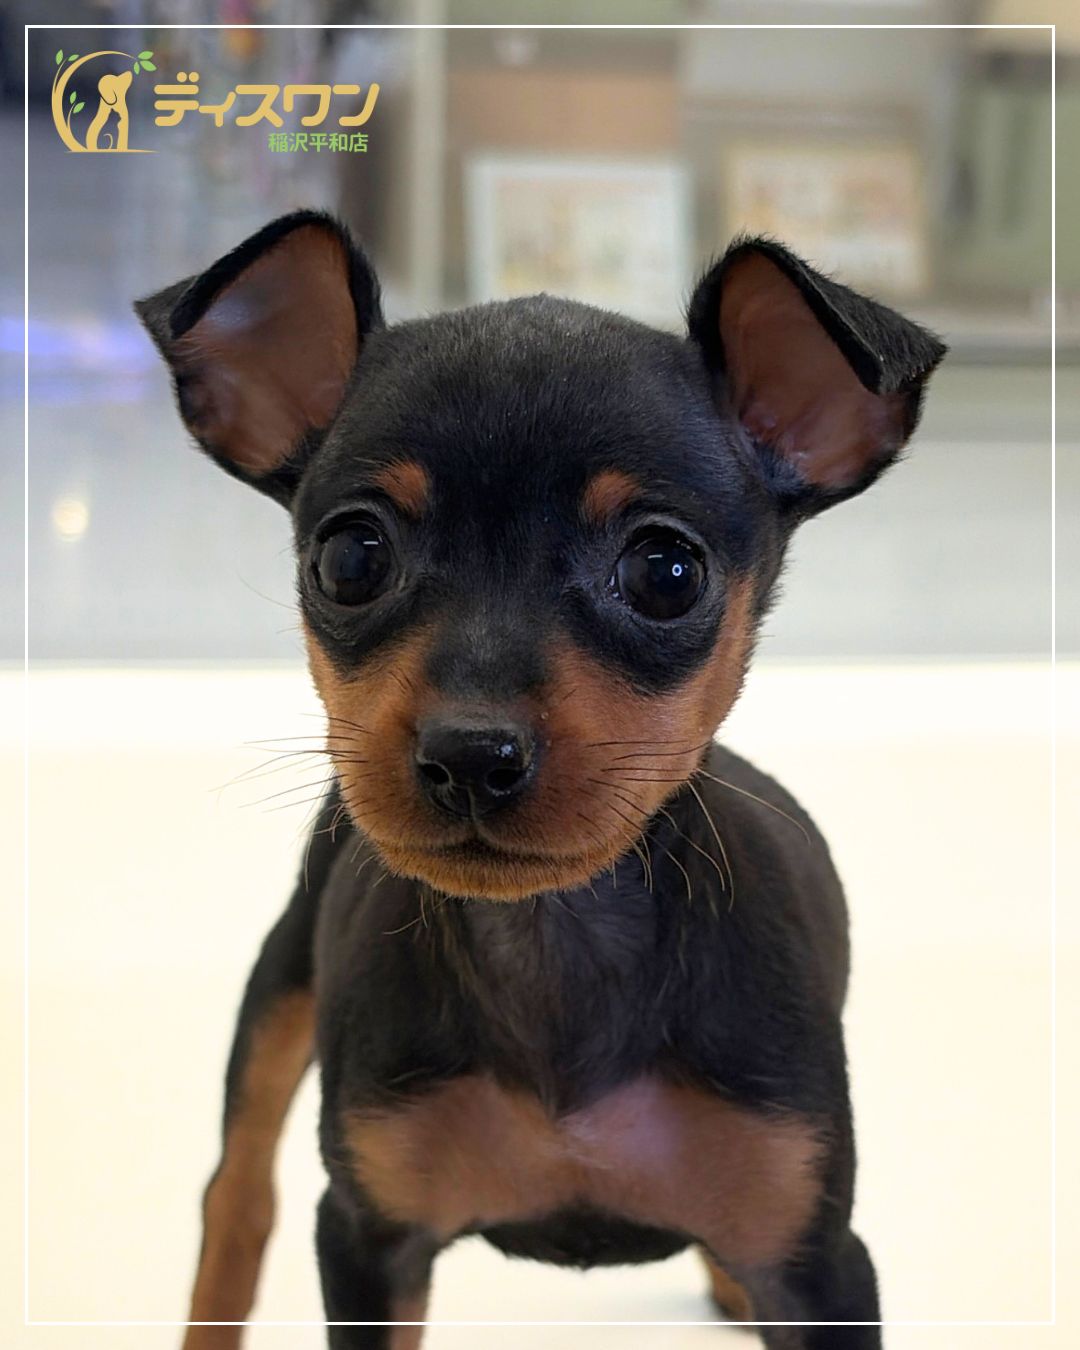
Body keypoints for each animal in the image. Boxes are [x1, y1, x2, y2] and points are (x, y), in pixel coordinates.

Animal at [137, 210, 945, 1349]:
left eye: (667, 573)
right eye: (349, 559)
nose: (471, 753)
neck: (552, 940)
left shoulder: (820, 1266)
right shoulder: (370, 1243)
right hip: (283, 979)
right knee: (237, 1189)